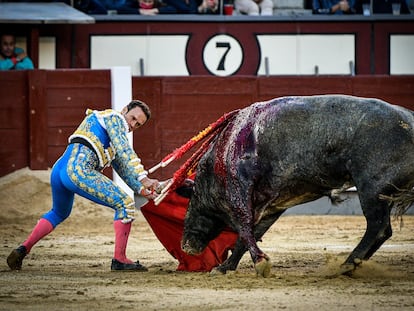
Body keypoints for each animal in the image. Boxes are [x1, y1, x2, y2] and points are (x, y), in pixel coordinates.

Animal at [180, 94, 414, 278]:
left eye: (190, 204)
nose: (186, 245)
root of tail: (409, 121)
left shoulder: (239, 191)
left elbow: (244, 229)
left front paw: (259, 264)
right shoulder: (272, 205)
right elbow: (249, 235)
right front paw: (225, 267)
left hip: (371, 189)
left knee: (378, 227)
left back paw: (345, 266)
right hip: (380, 193)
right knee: (383, 230)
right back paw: (351, 266)